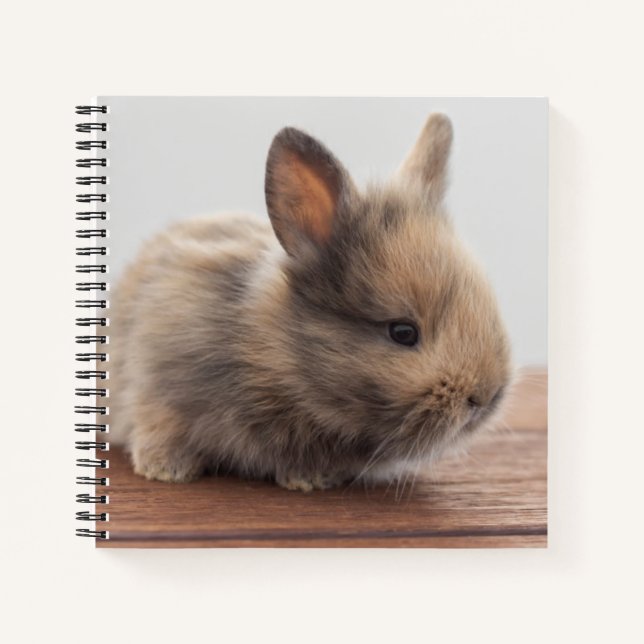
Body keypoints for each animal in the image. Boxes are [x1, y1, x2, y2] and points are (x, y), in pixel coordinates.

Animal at [106, 113, 512, 491]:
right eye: (403, 332)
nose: (485, 397)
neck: (273, 358)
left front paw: (311, 479)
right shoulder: (157, 382)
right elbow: (159, 425)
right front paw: (165, 470)